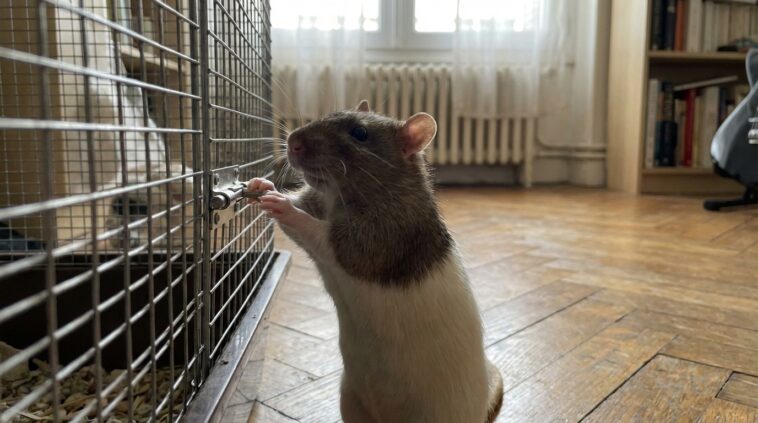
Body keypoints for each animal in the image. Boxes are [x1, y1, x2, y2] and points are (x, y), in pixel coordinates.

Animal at [248, 100, 503, 423]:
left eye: (360, 134)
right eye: (329, 115)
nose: (293, 142)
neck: (339, 199)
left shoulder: (383, 236)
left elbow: (326, 239)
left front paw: (283, 206)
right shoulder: (318, 201)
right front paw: (263, 185)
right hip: (352, 402)